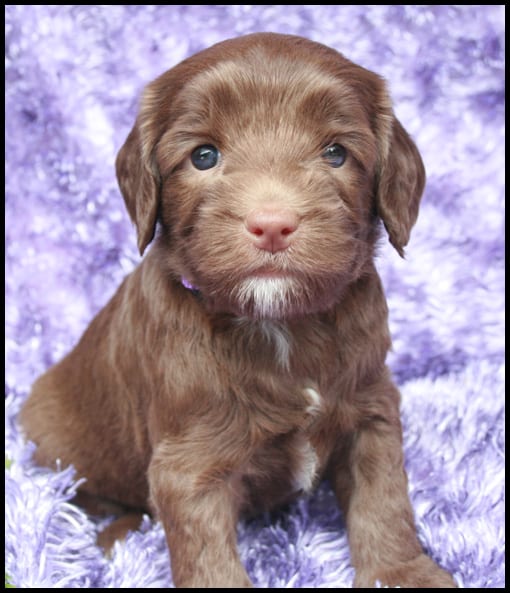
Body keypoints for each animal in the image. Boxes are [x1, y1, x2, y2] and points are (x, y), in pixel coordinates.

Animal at [20, 33, 458, 588]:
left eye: (336, 153)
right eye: (204, 156)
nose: (272, 224)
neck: (282, 325)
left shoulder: (371, 407)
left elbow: (382, 499)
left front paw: (402, 572)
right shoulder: (190, 459)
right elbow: (207, 554)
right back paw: (117, 539)